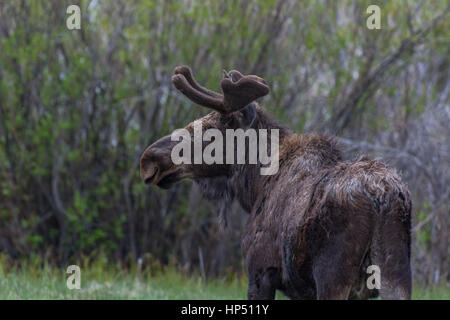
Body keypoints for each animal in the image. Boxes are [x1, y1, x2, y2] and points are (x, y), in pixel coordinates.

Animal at [141, 65, 412, 300]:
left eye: (211, 129)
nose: (148, 160)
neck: (255, 185)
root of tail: (382, 197)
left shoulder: (260, 271)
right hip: (396, 277)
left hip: (333, 278)